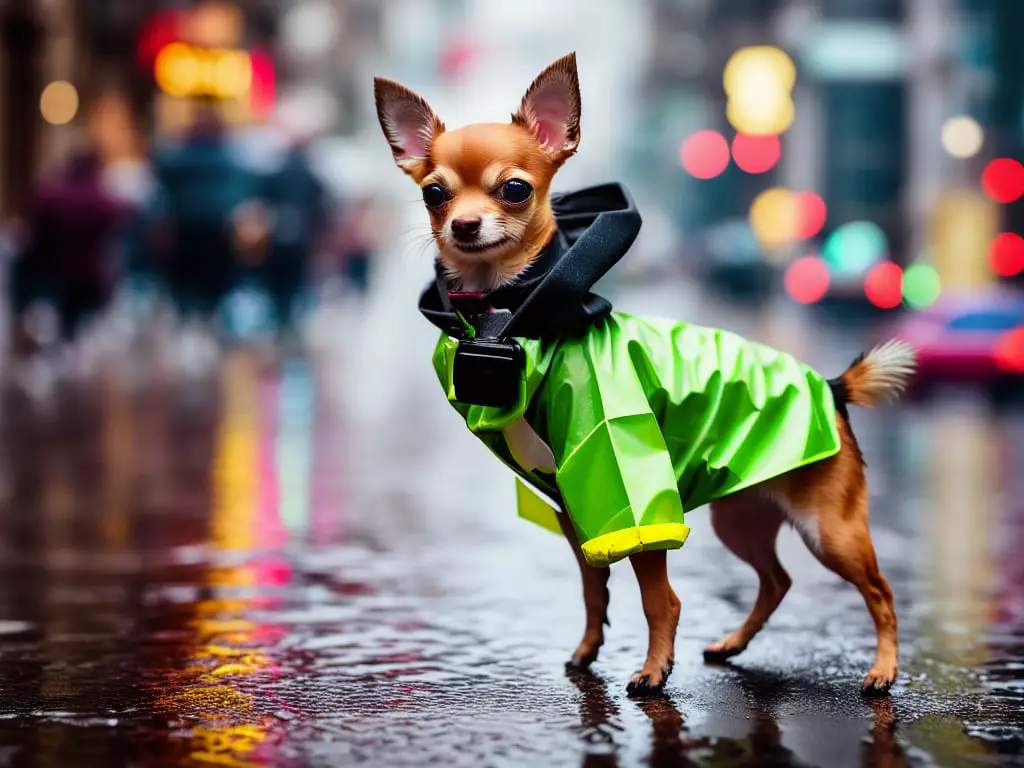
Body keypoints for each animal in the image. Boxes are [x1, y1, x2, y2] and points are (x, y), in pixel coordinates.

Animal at [376, 52, 921, 696]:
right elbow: (594, 590)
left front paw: (654, 669)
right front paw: (588, 650)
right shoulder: (578, 507)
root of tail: (831, 387)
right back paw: (733, 643)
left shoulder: (631, 496)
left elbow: (659, 599)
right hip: (742, 515)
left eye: (514, 189)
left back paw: (882, 670)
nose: (462, 225)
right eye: (434, 194)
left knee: (880, 592)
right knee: (776, 580)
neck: (506, 314)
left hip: (829, 529)